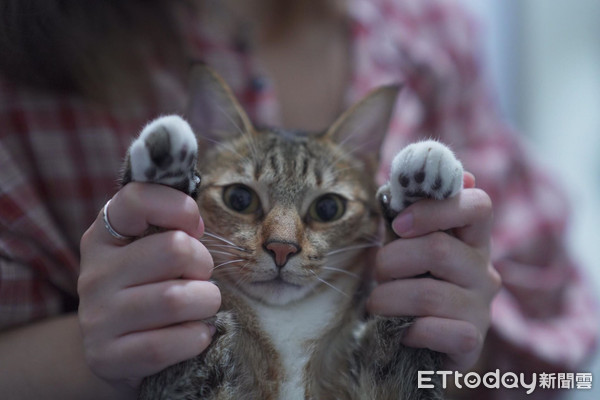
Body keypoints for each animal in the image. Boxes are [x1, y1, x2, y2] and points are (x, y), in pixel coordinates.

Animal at [119, 66, 462, 400]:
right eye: (239, 199)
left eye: (328, 208)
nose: (281, 248)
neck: (286, 326)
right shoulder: (180, 380)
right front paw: (166, 172)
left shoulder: (396, 381)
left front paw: (420, 186)